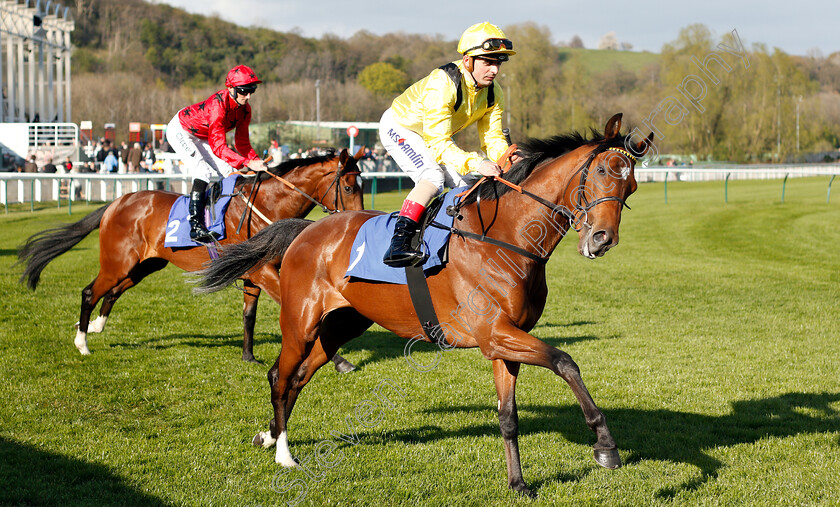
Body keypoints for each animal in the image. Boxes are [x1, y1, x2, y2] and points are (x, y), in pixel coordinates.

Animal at [18, 149, 364, 368]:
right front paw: (338, 359)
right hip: (118, 262)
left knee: (113, 291)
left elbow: (249, 316)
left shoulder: (254, 275)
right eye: (348, 186)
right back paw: (82, 343)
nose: (358, 222)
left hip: (144, 265)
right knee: (91, 291)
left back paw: (92, 326)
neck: (266, 207)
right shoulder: (262, 271)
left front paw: (248, 356)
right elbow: (296, 316)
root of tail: (117, 202)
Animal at [197, 115, 656, 496]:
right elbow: (566, 362)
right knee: (280, 374)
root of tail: (307, 229)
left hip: (341, 326)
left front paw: (518, 483)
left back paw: (271, 436)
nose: (602, 239)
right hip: (300, 321)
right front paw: (606, 445)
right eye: (601, 172)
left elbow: (509, 417)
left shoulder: (504, 341)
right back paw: (284, 453)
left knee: (297, 377)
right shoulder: (496, 334)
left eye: (631, 187)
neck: (506, 238)